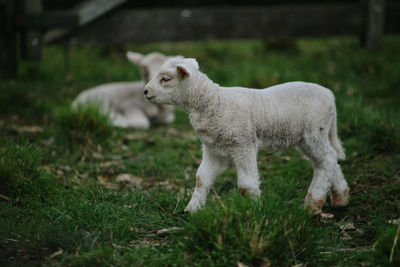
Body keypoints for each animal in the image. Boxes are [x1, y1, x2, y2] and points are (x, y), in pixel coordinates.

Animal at [145, 57, 350, 216]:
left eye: (165, 78)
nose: (145, 91)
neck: (213, 102)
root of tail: (330, 95)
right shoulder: (213, 149)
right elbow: (201, 179)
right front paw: (192, 210)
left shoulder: (242, 143)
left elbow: (246, 185)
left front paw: (254, 211)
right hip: (308, 137)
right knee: (329, 160)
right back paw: (341, 198)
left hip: (314, 132)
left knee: (326, 160)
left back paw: (312, 205)